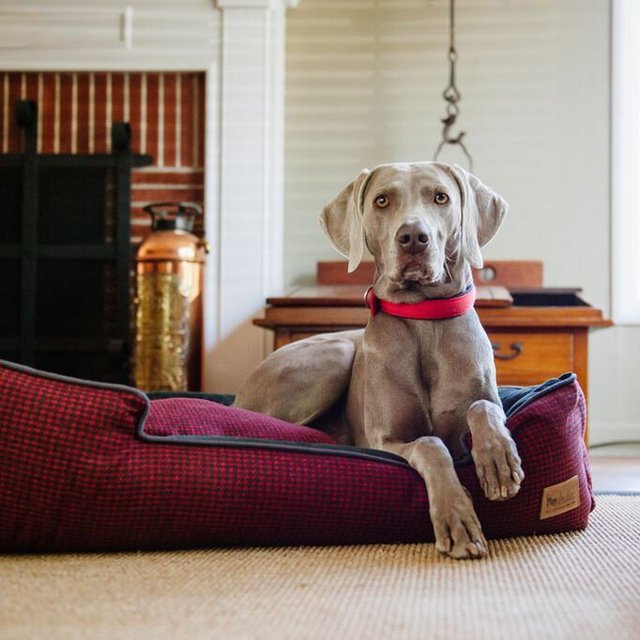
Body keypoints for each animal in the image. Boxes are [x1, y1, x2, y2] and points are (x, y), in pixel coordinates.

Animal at [235, 161, 524, 560]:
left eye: (441, 197)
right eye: (382, 201)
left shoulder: (486, 400)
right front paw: (457, 517)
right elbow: (431, 445)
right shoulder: (387, 441)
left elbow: (483, 407)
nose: (413, 237)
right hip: (334, 355)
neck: (424, 319)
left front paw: (497, 462)